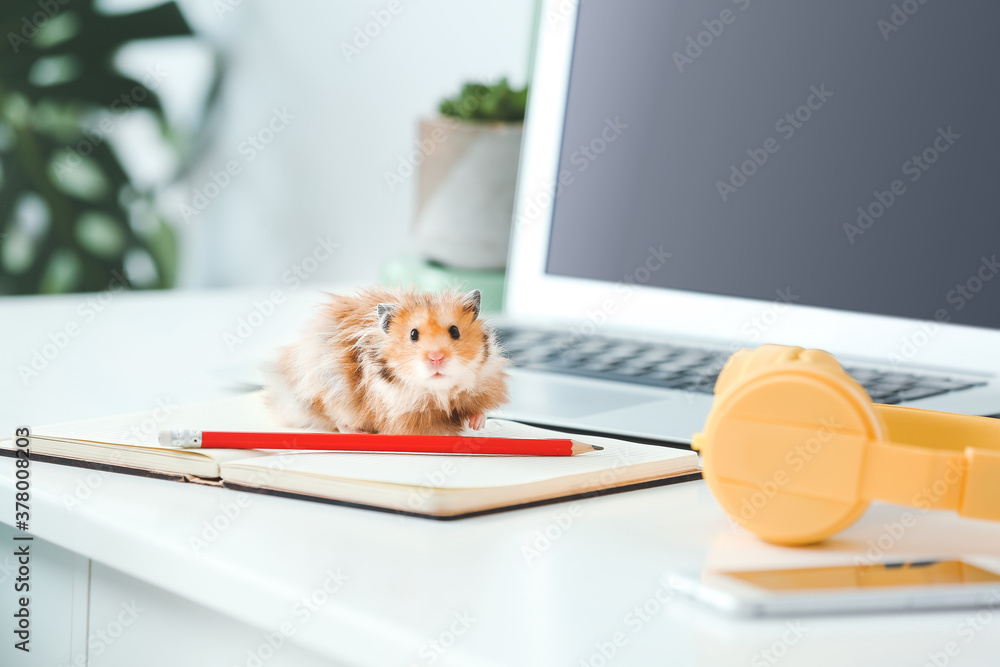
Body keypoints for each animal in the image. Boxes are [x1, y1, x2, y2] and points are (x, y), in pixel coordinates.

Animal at [266, 288, 508, 438]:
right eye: (413, 334)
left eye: (455, 331)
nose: (436, 358)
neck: (438, 391)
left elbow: (479, 409)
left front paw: (476, 425)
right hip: (327, 391)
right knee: (336, 419)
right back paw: (358, 432)